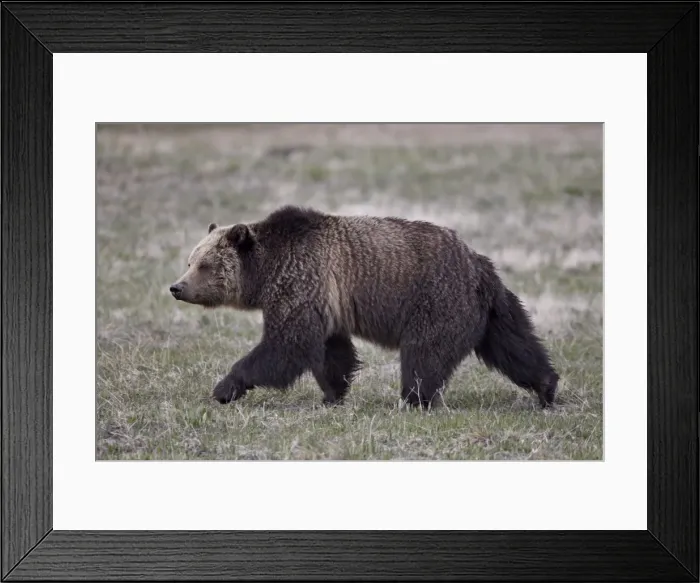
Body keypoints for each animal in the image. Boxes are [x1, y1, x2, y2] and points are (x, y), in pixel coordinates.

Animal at [170, 204, 559, 410]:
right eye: (189, 260)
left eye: (204, 264)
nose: (177, 287)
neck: (266, 270)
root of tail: (479, 266)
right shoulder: (326, 301)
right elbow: (331, 352)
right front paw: (332, 395)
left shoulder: (299, 282)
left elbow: (286, 345)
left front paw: (225, 386)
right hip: (493, 312)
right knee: (516, 347)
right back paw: (546, 387)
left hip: (437, 301)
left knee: (423, 355)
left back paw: (414, 400)